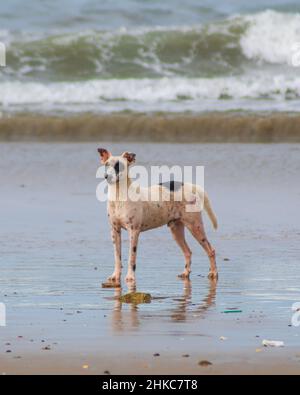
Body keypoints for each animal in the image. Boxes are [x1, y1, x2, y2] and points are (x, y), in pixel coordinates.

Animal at [98, 148, 218, 288]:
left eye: (119, 166)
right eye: (106, 164)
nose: (106, 176)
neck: (118, 196)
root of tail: (190, 186)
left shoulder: (134, 232)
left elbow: (131, 258)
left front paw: (130, 277)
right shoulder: (115, 231)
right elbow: (117, 257)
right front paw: (115, 276)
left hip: (195, 227)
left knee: (211, 250)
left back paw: (214, 273)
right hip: (176, 231)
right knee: (188, 252)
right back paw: (185, 273)